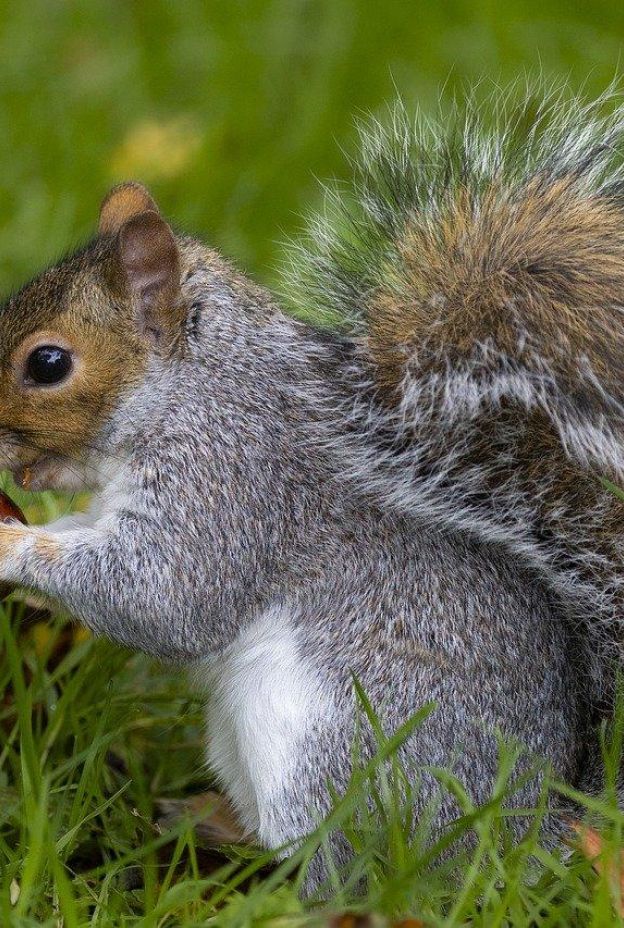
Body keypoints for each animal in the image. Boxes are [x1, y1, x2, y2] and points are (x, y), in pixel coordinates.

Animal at [0, 87, 622, 887]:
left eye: (47, 363)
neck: (192, 388)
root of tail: (529, 835)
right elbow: (89, 545)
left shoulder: (231, 481)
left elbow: (166, 598)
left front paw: (10, 544)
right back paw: (213, 826)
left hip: (337, 743)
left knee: (349, 862)